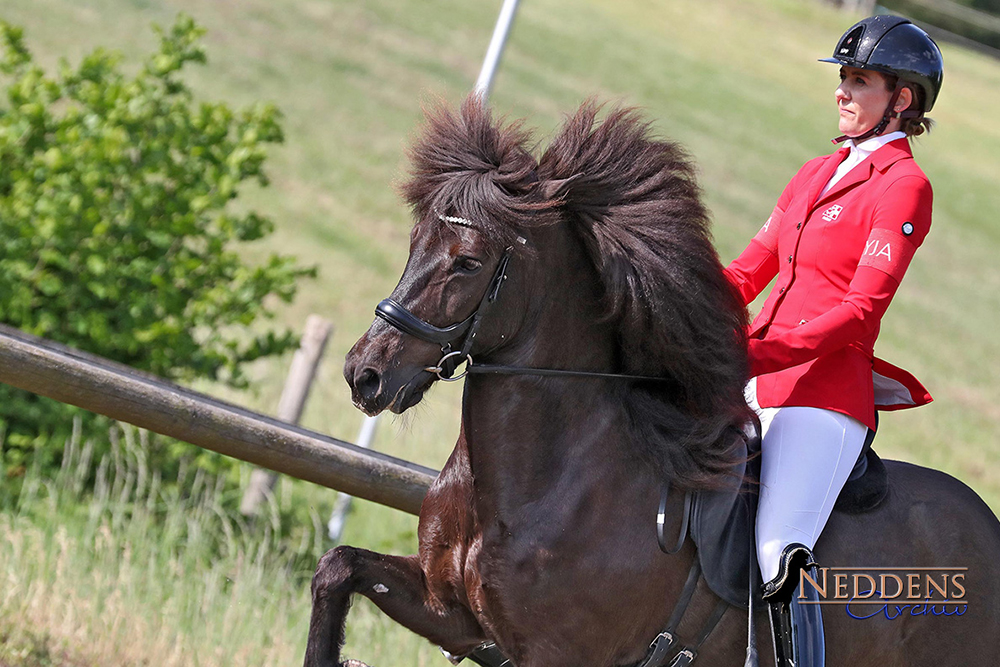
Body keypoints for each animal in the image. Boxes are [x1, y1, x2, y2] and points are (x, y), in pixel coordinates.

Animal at [302, 96, 1000, 664]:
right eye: (415, 240)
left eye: (468, 263)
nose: (365, 374)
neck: (551, 479)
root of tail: (988, 525)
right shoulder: (455, 615)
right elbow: (338, 567)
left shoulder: (557, 655)